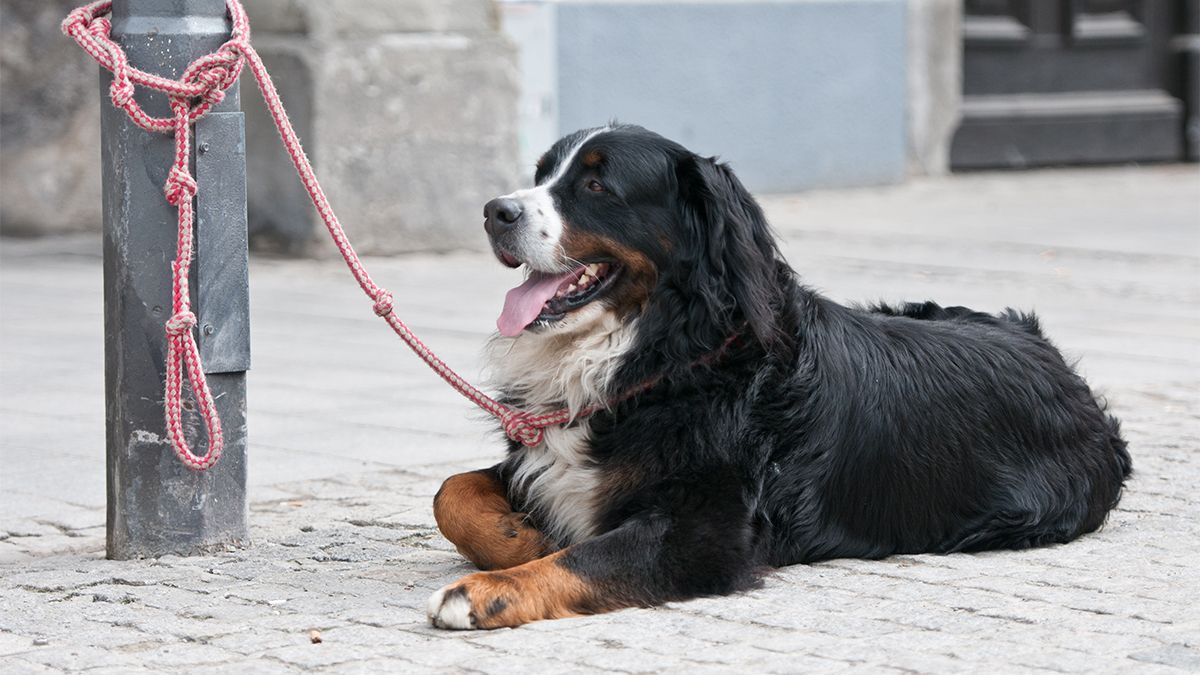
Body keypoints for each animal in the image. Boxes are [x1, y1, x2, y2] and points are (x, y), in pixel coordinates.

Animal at [424, 123, 1132, 629]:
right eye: (543, 175)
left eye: (597, 187)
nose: (495, 211)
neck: (664, 355)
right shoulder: (544, 456)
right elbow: (451, 492)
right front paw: (521, 536)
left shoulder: (701, 533)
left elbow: (584, 556)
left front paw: (487, 587)